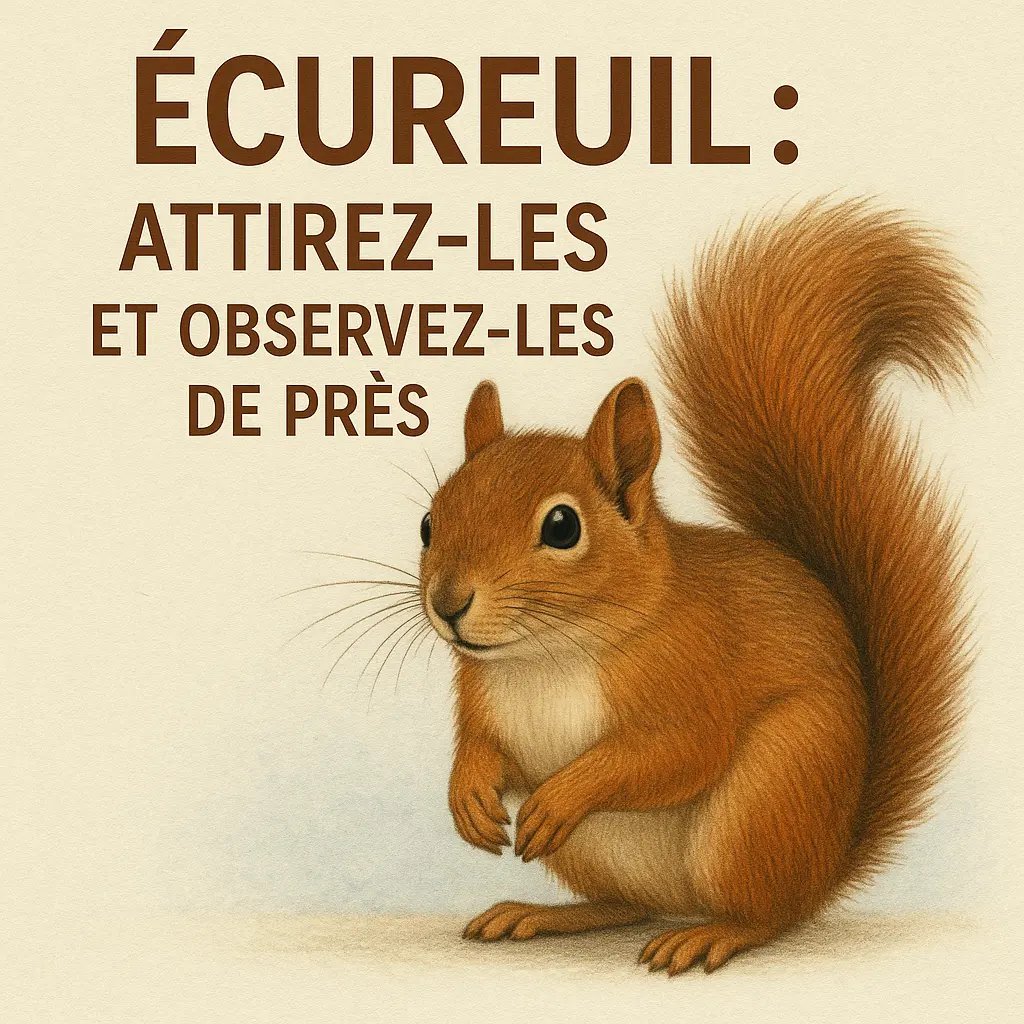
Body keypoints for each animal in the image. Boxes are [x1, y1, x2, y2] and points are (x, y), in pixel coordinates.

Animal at [416, 198, 977, 973]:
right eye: (428, 521)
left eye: (562, 526)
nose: (448, 604)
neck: (549, 654)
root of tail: (829, 860)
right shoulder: (482, 696)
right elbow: (481, 746)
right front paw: (466, 794)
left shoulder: (695, 671)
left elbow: (676, 752)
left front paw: (561, 795)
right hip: (605, 854)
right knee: (629, 904)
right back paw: (541, 913)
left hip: (767, 798)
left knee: (769, 913)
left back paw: (712, 934)